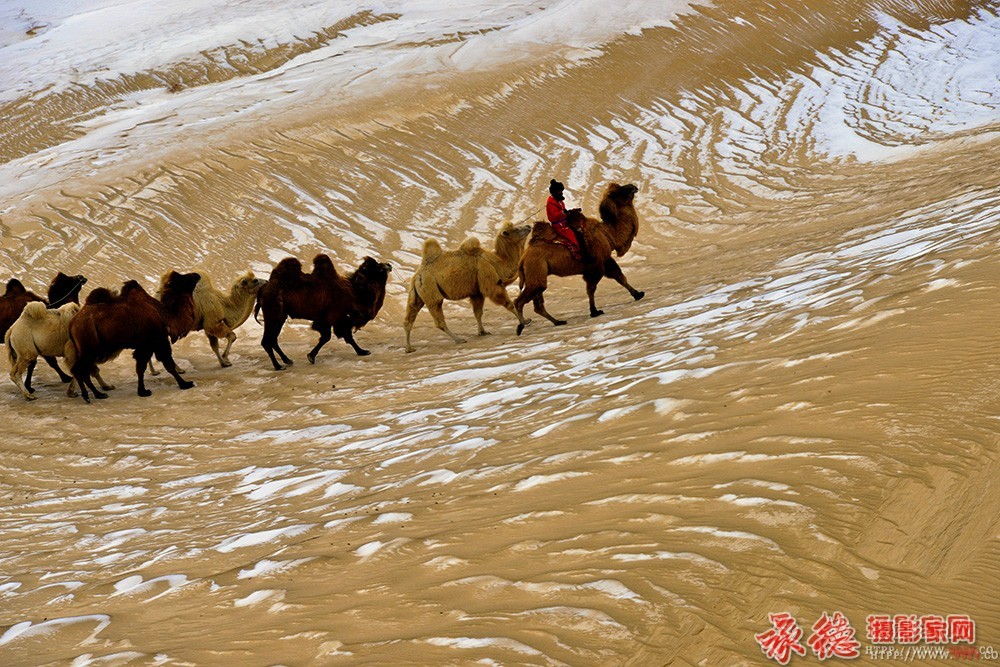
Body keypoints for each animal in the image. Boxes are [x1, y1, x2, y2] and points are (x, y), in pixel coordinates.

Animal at [256, 254, 392, 370]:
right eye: (377, 267)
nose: (389, 265)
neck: (353, 293)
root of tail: (263, 289)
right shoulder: (336, 317)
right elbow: (338, 336)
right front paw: (362, 351)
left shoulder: (326, 319)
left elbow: (331, 337)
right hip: (274, 314)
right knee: (267, 340)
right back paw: (278, 366)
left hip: (280, 316)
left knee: (273, 339)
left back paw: (287, 360)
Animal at [404, 222, 536, 352]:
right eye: (516, 229)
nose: (528, 226)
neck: (497, 262)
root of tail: (418, 275)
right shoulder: (490, 280)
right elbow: (508, 303)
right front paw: (523, 322)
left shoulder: (476, 292)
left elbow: (478, 312)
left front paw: (483, 332)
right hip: (430, 289)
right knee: (438, 318)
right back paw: (459, 339)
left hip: (418, 293)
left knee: (410, 316)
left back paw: (409, 348)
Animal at [512, 181, 644, 334]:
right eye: (619, 191)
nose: (633, 186)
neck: (607, 234)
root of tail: (523, 257)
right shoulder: (596, 265)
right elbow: (591, 288)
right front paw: (594, 311)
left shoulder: (605, 260)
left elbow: (620, 276)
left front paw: (638, 294)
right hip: (536, 271)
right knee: (519, 301)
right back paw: (521, 327)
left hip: (536, 275)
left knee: (537, 304)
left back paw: (558, 322)